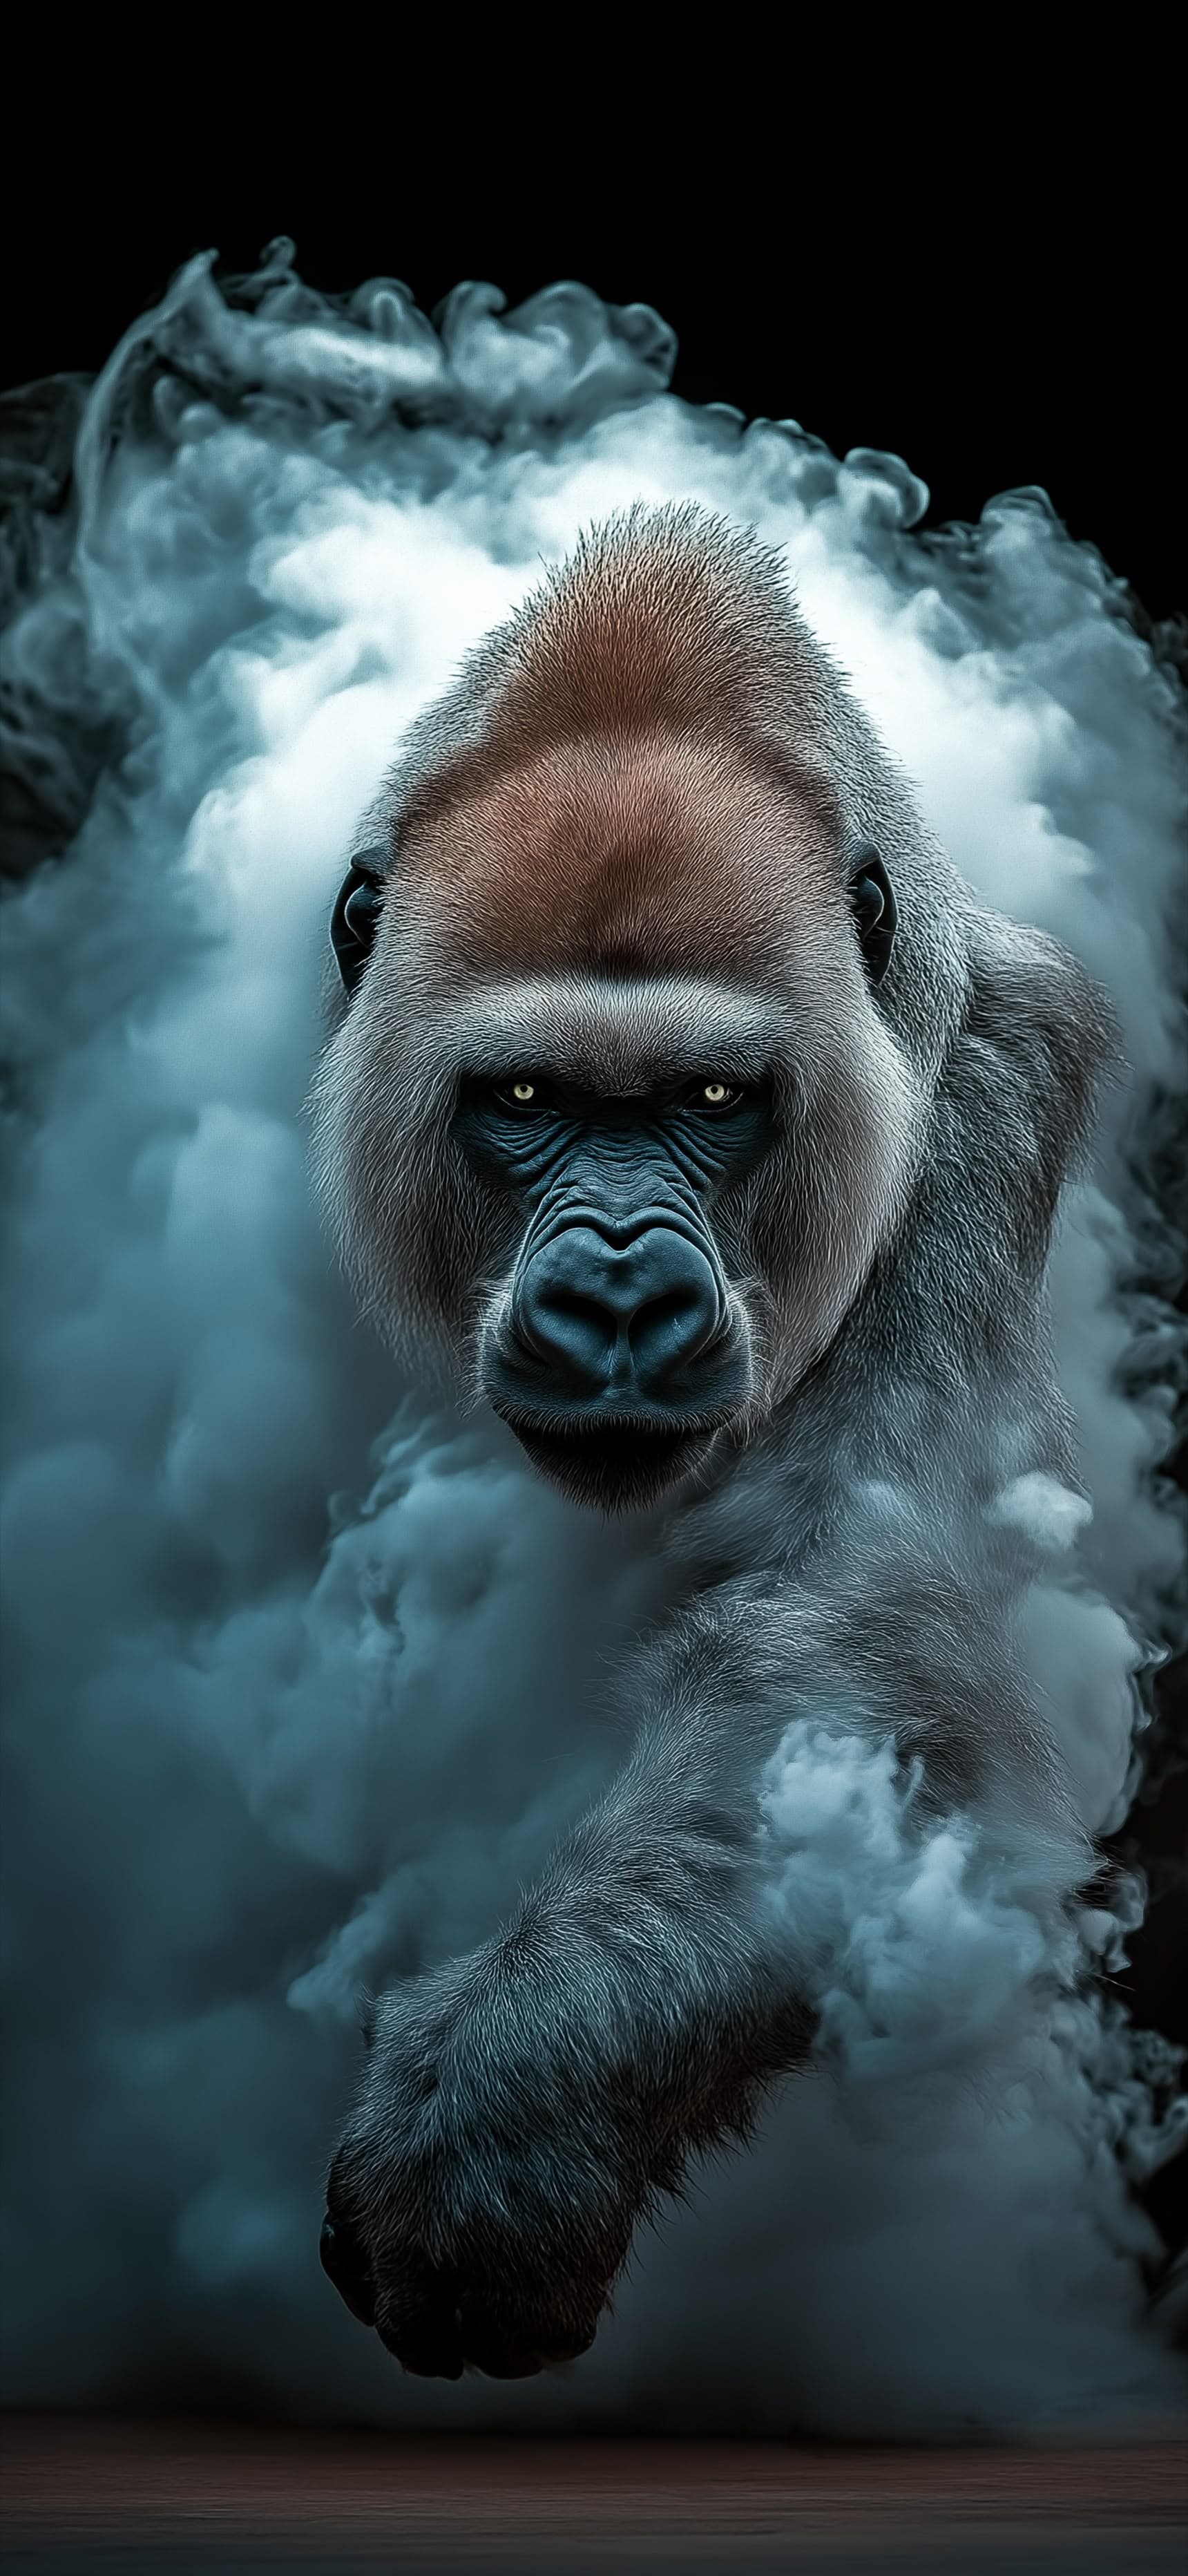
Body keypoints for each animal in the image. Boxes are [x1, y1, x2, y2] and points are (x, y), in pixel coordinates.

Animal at [311, 503, 1114, 2382]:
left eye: (708, 1101)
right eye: (525, 1102)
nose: (615, 1296)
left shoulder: (975, 1080)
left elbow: (858, 1647)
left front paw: (499, 2112)